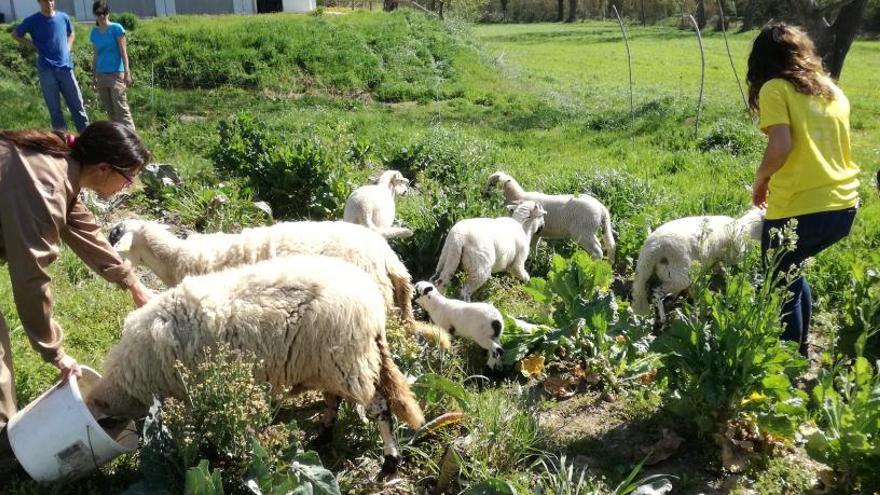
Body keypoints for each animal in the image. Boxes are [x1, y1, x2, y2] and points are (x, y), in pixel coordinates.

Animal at [87, 258, 424, 474]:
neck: (132, 375)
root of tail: (373, 304)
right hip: (329, 363)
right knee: (334, 398)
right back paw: (323, 436)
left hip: (349, 360)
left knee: (379, 407)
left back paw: (390, 460)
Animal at [484, 170, 616, 264]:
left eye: (492, 184)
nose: (482, 194)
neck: (517, 197)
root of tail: (601, 208)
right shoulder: (537, 233)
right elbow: (533, 247)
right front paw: (533, 261)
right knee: (611, 245)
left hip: (583, 231)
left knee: (597, 251)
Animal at [628, 208, 768, 318]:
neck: (747, 227)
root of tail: (652, 248)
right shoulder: (734, 254)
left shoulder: (714, 258)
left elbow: (718, 267)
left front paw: (723, 274)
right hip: (678, 274)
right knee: (657, 294)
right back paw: (663, 318)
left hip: (662, 273)